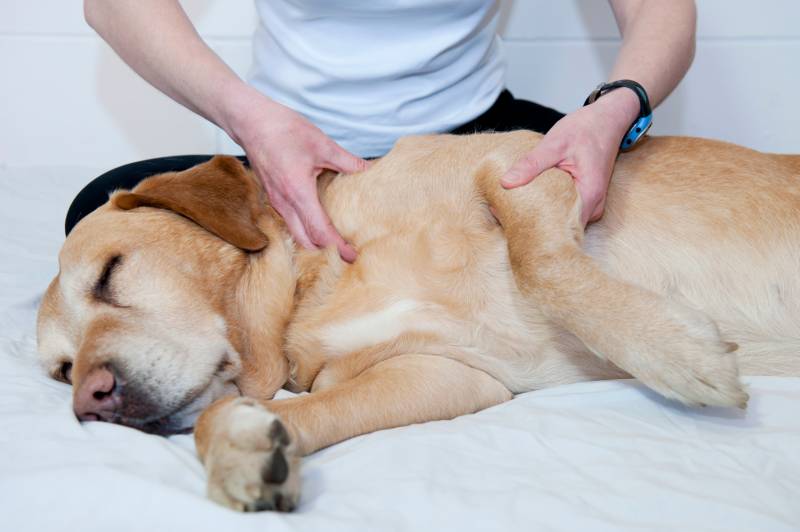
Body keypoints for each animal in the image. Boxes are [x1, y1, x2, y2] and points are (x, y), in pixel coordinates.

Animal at [36, 132, 800, 512]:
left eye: (109, 273)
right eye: (61, 371)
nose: (90, 402)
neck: (317, 285)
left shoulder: (520, 163)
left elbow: (542, 265)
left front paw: (676, 354)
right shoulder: (446, 376)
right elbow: (254, 415)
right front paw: (242, 452)